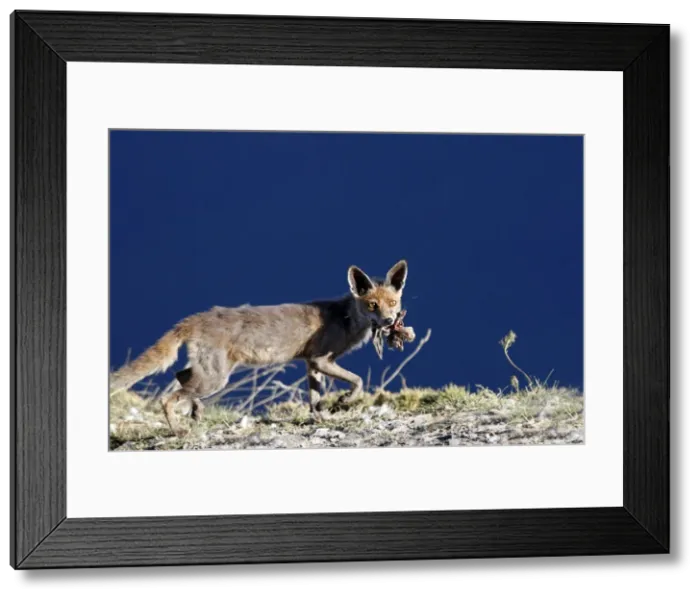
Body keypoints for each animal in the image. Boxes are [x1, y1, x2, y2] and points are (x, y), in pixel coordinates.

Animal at [109, 259, 409, 435]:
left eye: (392, 303)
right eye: (372, 305)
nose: (389, 321)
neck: (345, 319)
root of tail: (195, 317)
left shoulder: (312, 364)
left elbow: (315, 399)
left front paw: (320, 419)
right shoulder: (322, 360)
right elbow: (357, 381)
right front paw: (344, 401)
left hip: (211, 375)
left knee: (180, 376)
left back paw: (196, 413)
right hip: (215, 378)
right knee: (167, 397)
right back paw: (178, 430)